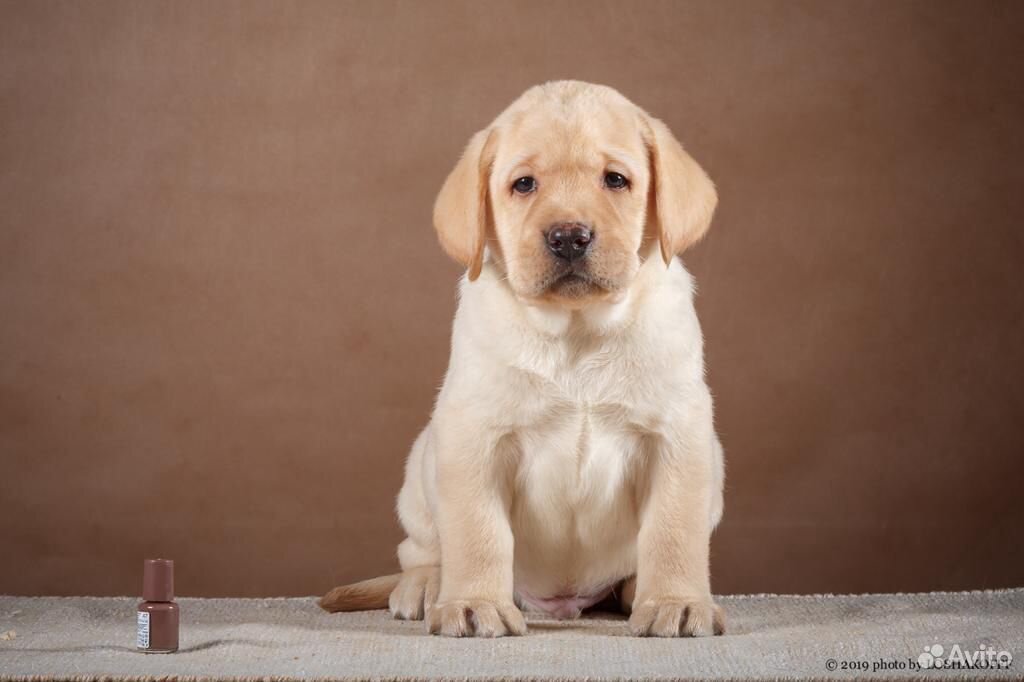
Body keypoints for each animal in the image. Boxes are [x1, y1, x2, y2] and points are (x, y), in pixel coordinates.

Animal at [321, 80, 729, 638]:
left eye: (616, 179)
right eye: (524, 184)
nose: (569, 237)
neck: (577, 331)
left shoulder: (677, 433)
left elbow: (673, 531)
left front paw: (676, 602)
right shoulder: (475, 434)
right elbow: (477, 531)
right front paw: (473, 603)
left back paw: (633, 590)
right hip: (421, 466)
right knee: (421, 550)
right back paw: (427, 586)